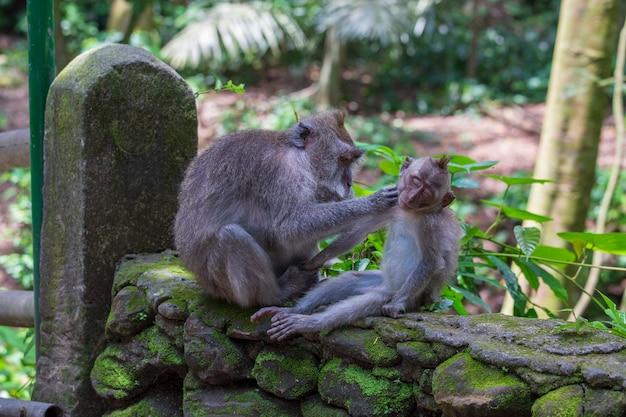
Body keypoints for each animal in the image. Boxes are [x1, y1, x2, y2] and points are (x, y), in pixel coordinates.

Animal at [172, 110, 394, 308]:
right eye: (343, 159)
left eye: (352, 160)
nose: (349, 183)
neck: (300, 157)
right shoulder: (281, 174)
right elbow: (289, 228)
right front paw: (374, 202)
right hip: (219, 285)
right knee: (231, 235)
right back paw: (277, 293)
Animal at [251, 154, 460, 340]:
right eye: (416, 182)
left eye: (426, 194)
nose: (411, 197)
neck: (410, 213)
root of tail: (385, 286)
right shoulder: (394, 204)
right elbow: (360, 231)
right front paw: (316, 261)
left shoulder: (430, 225)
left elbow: (432, 261)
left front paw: (395, 306)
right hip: (375, 281)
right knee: (346, 281)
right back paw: (293, 310)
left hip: (398, 294)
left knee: (360, 305)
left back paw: (309, 323)